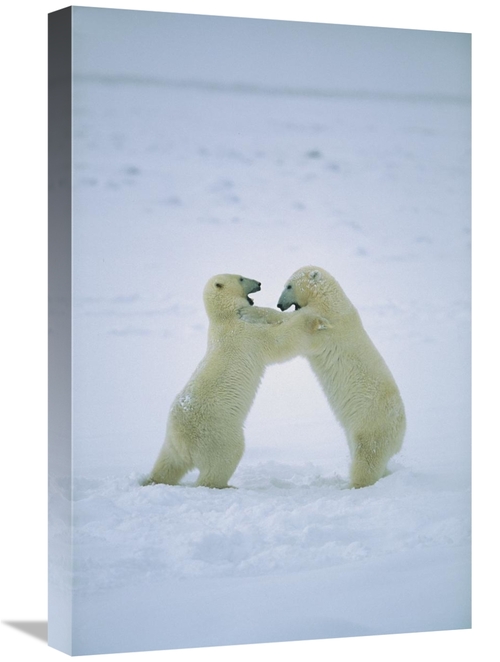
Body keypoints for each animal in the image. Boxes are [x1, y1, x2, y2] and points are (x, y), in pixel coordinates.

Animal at [144, 274, 329, 489]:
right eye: (241, 278)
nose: (259, 283)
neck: (225, 318)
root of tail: (184, 442)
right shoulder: (246, 335)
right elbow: (279, 341)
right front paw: (311, 320)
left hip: (171, 441)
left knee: (168, 463)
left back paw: (151, 480)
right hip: (218, 432)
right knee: (225, 458)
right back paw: (224, 485)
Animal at [276, 265, 406, 488]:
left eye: (289, 286)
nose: (279, 304)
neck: (331, 298)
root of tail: (401, 433)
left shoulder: (326, 322)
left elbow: (297, 333)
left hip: (370, 426)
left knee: (367, 459)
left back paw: (353, 485)